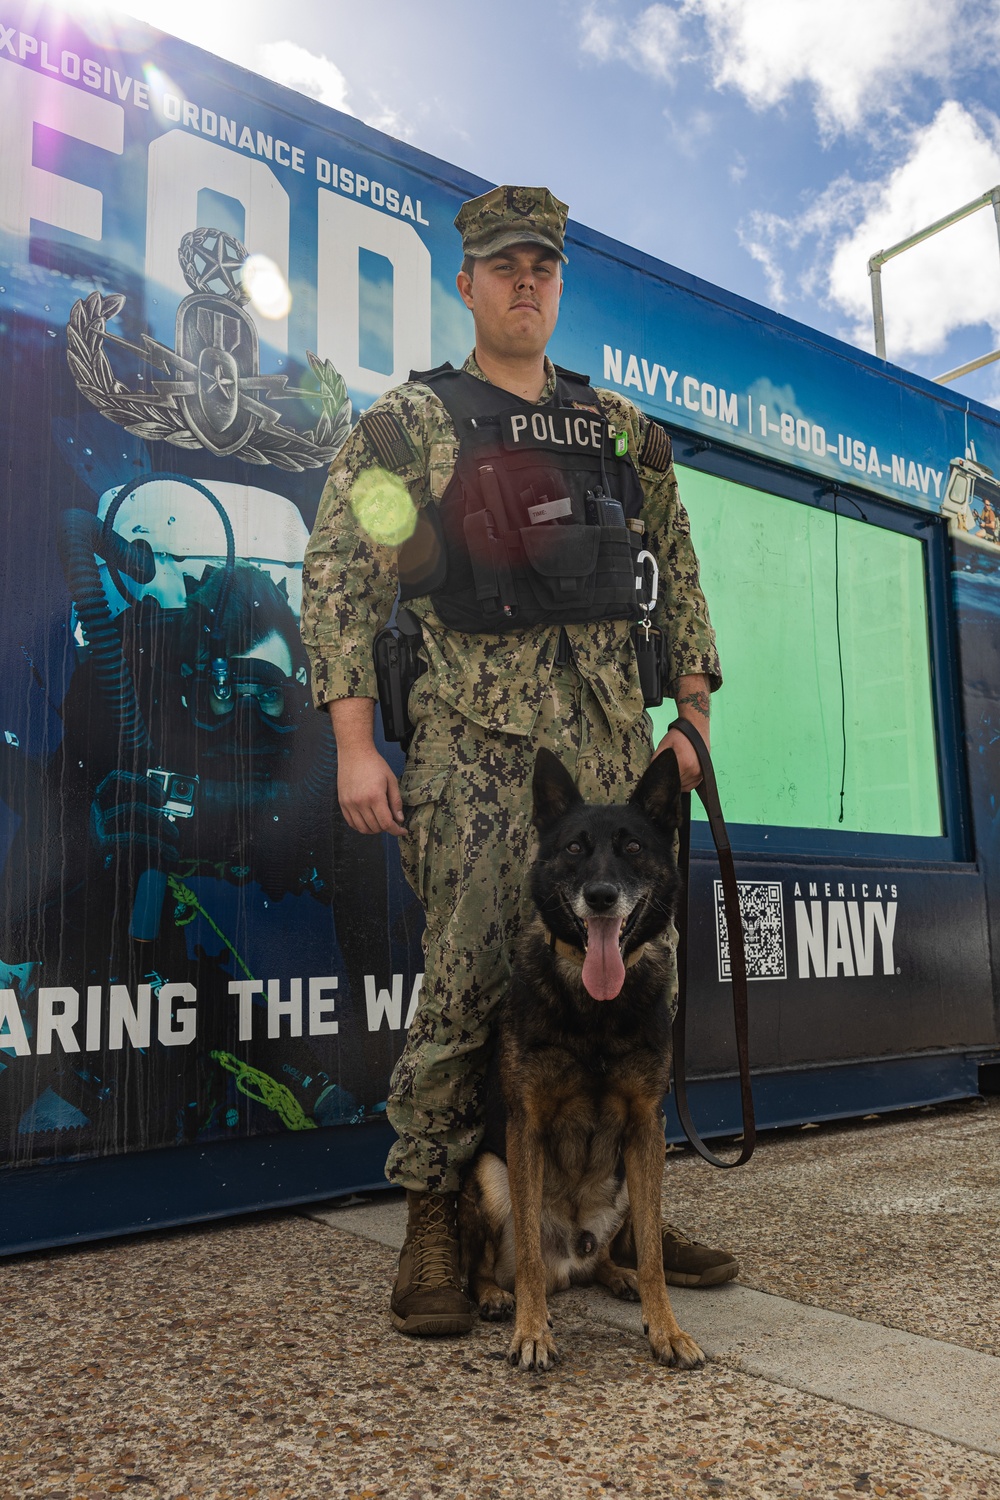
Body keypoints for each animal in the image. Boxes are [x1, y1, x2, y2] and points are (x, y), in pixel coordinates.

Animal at [458, 747, 704, 1374]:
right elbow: (524, 1251)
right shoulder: (525, 1126)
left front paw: (666, 1328)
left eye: (633, 847)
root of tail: (567, 1261)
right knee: (495, 1265)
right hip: (490, 1173)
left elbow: (654, 1254)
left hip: (630, 1179)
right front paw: (531, 1332)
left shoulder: (646, 1127)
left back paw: (619, 1277)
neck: (596, 1009)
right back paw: (497, 1297)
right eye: (574, 848)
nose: (600, 896)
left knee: (616, 1254)